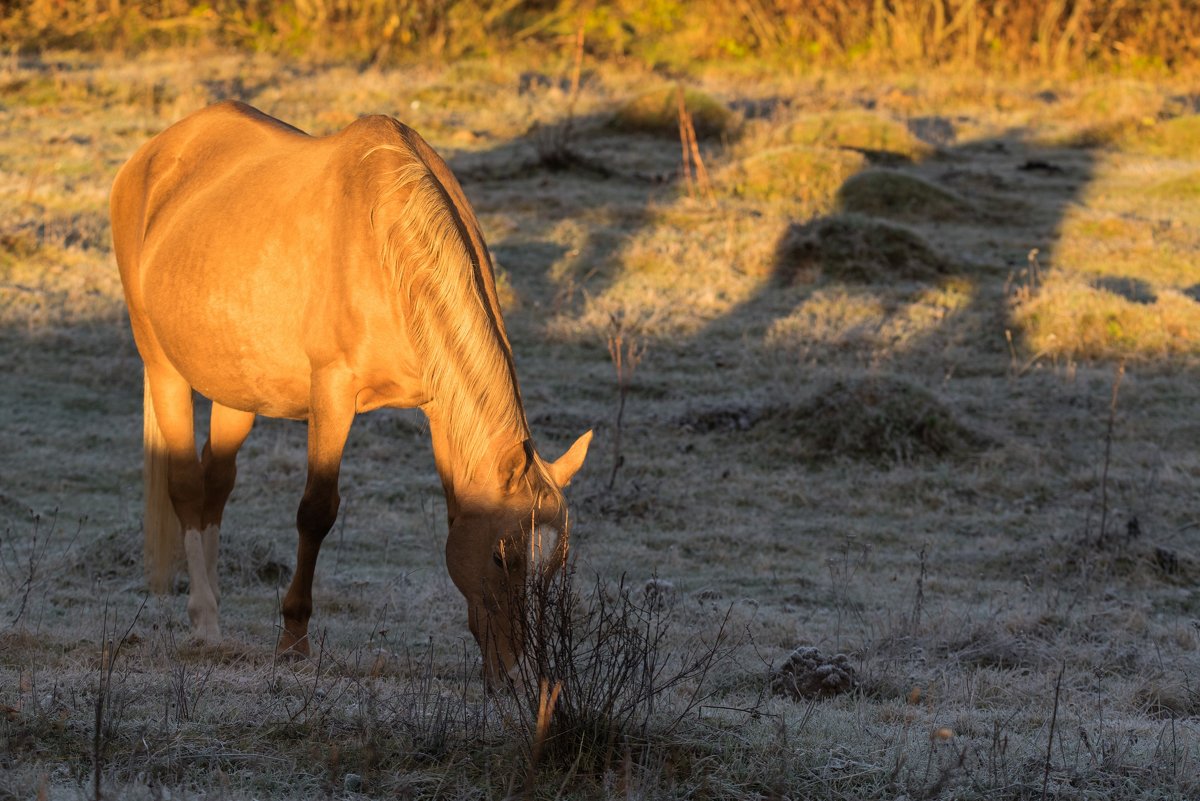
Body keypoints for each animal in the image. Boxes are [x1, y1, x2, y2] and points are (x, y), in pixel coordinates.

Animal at [110, 97, 588, 681]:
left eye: (555, 566)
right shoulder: (332, 396)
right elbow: (316, 512)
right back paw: (204, 623)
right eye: (501, 556)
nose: (519, 674)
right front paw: (293, 639)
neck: (386, 245)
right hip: (163, 368)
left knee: (215, 485)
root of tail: (153, 155)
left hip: (234, 390)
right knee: (184, 485)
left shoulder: (439, 411)